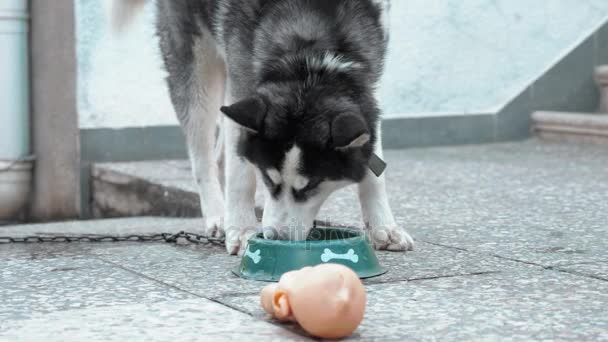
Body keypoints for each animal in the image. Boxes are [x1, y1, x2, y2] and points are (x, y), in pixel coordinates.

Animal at [112, 0, 416, 254]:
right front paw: (242, 229)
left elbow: (374, 172)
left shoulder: (369, 89)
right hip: (197, 66)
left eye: (311, 185)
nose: (275, 237)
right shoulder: (243, 83)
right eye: (269, 180)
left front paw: (383, 228)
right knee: (202, 154)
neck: (310, 59)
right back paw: (218, 214)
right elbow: (241, 175)